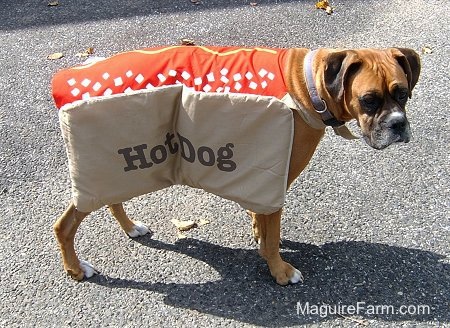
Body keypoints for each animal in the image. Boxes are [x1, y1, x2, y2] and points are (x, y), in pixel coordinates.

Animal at [53, 45, 422, 284]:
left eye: (403, 93)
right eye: (369, 100)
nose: (398, 124)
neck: (308, 85)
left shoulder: (265, 183)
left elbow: (260, 219)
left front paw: (258, 235)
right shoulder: (276, 181)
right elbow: (273, 236)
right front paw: (279, 271)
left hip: (114, 168)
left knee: (112, 198)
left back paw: (130, 228)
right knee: (65, 225)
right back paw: (75, 269)